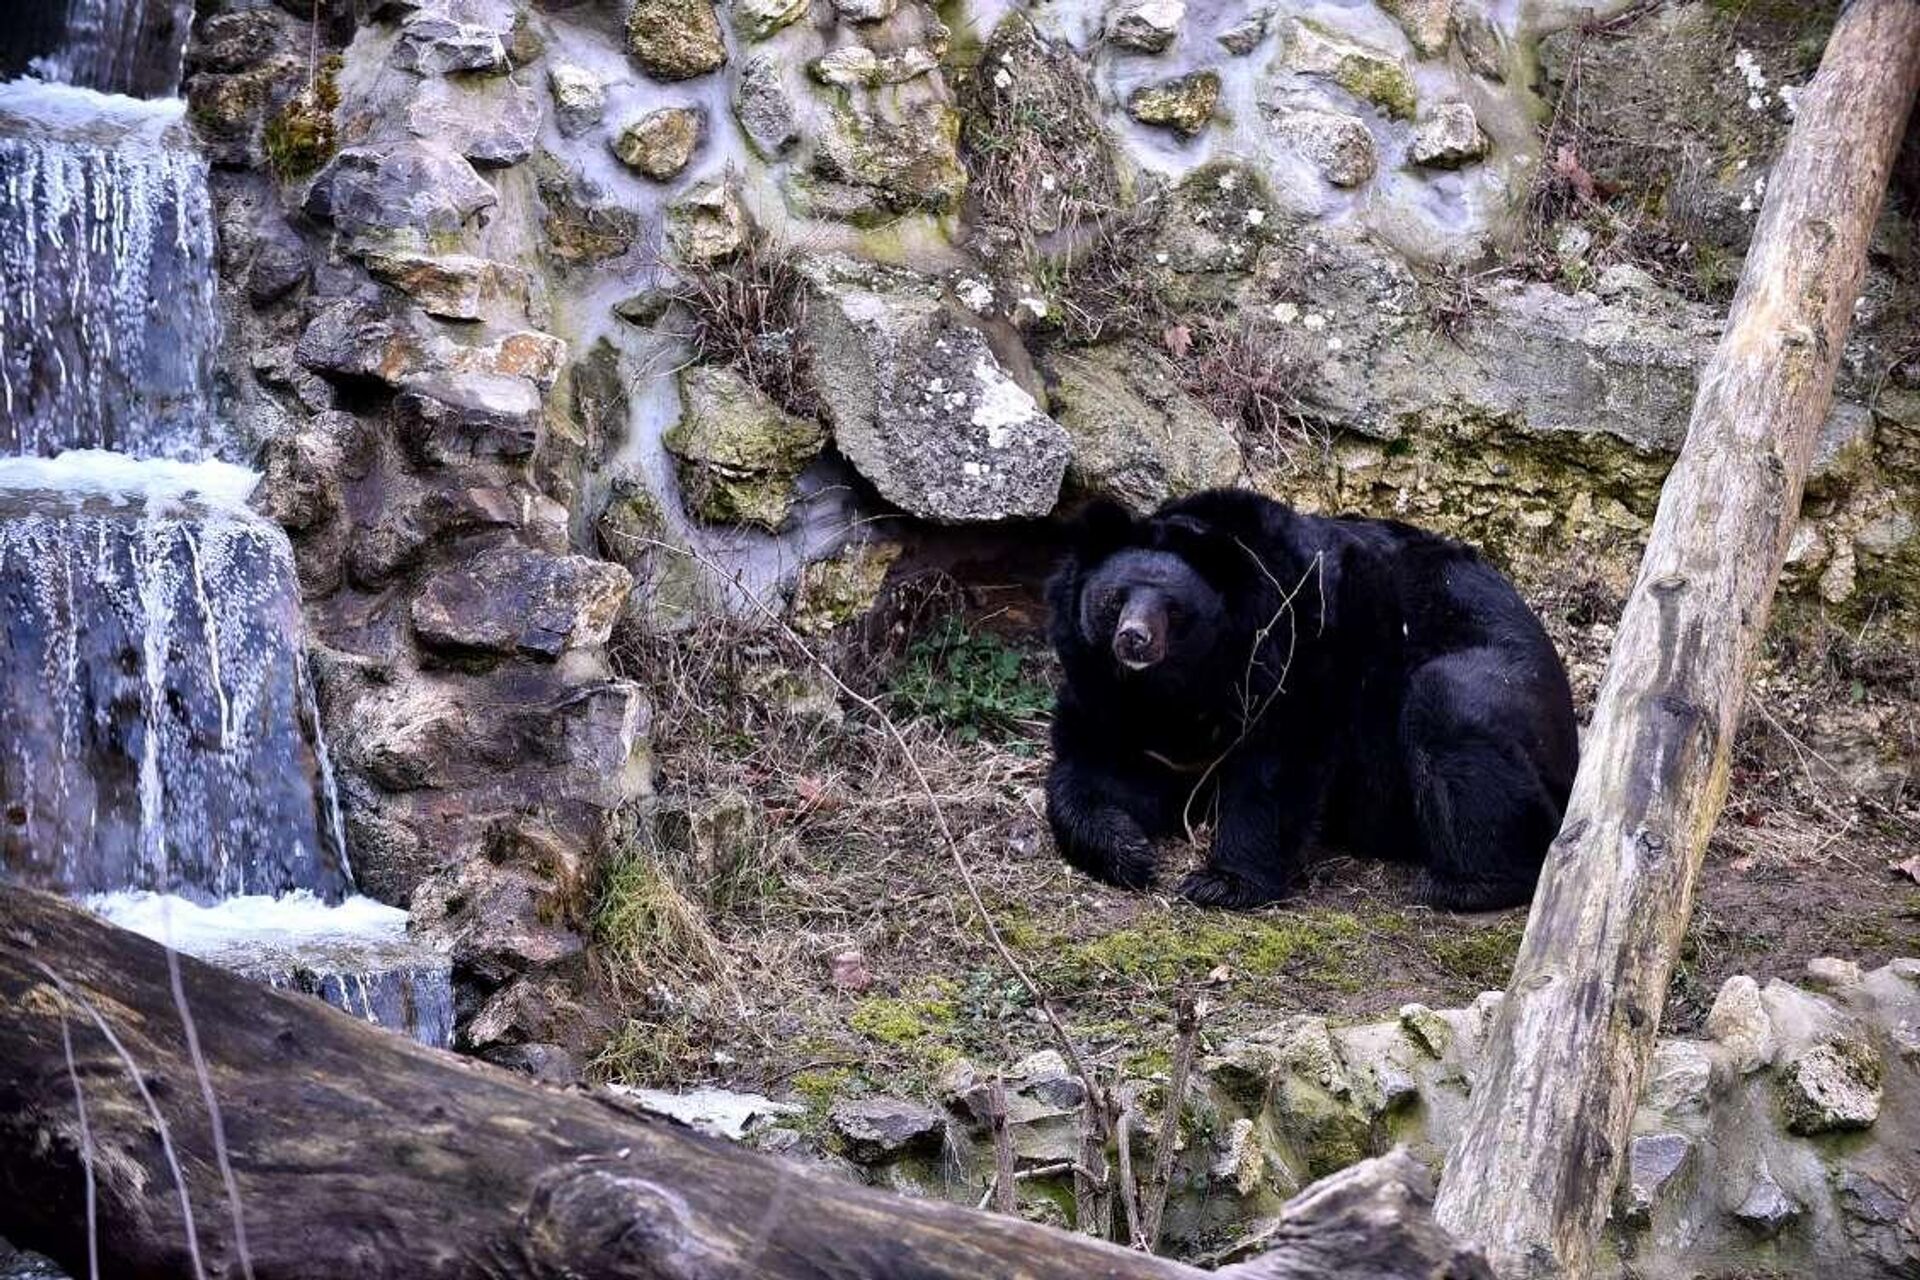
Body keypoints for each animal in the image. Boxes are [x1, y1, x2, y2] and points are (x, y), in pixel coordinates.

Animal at [1052, 485, 1574, 917]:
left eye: (1173, 608)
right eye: (1115, 599)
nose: (1133, 639)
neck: (1174, 688)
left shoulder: (1296, 652)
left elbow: (1278, 764)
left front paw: (1223, 882)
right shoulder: (1103, 695)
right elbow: (1090, 772)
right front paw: (1128, 853)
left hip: (1501, 687)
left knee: (1449, 709)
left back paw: (1465, 883)